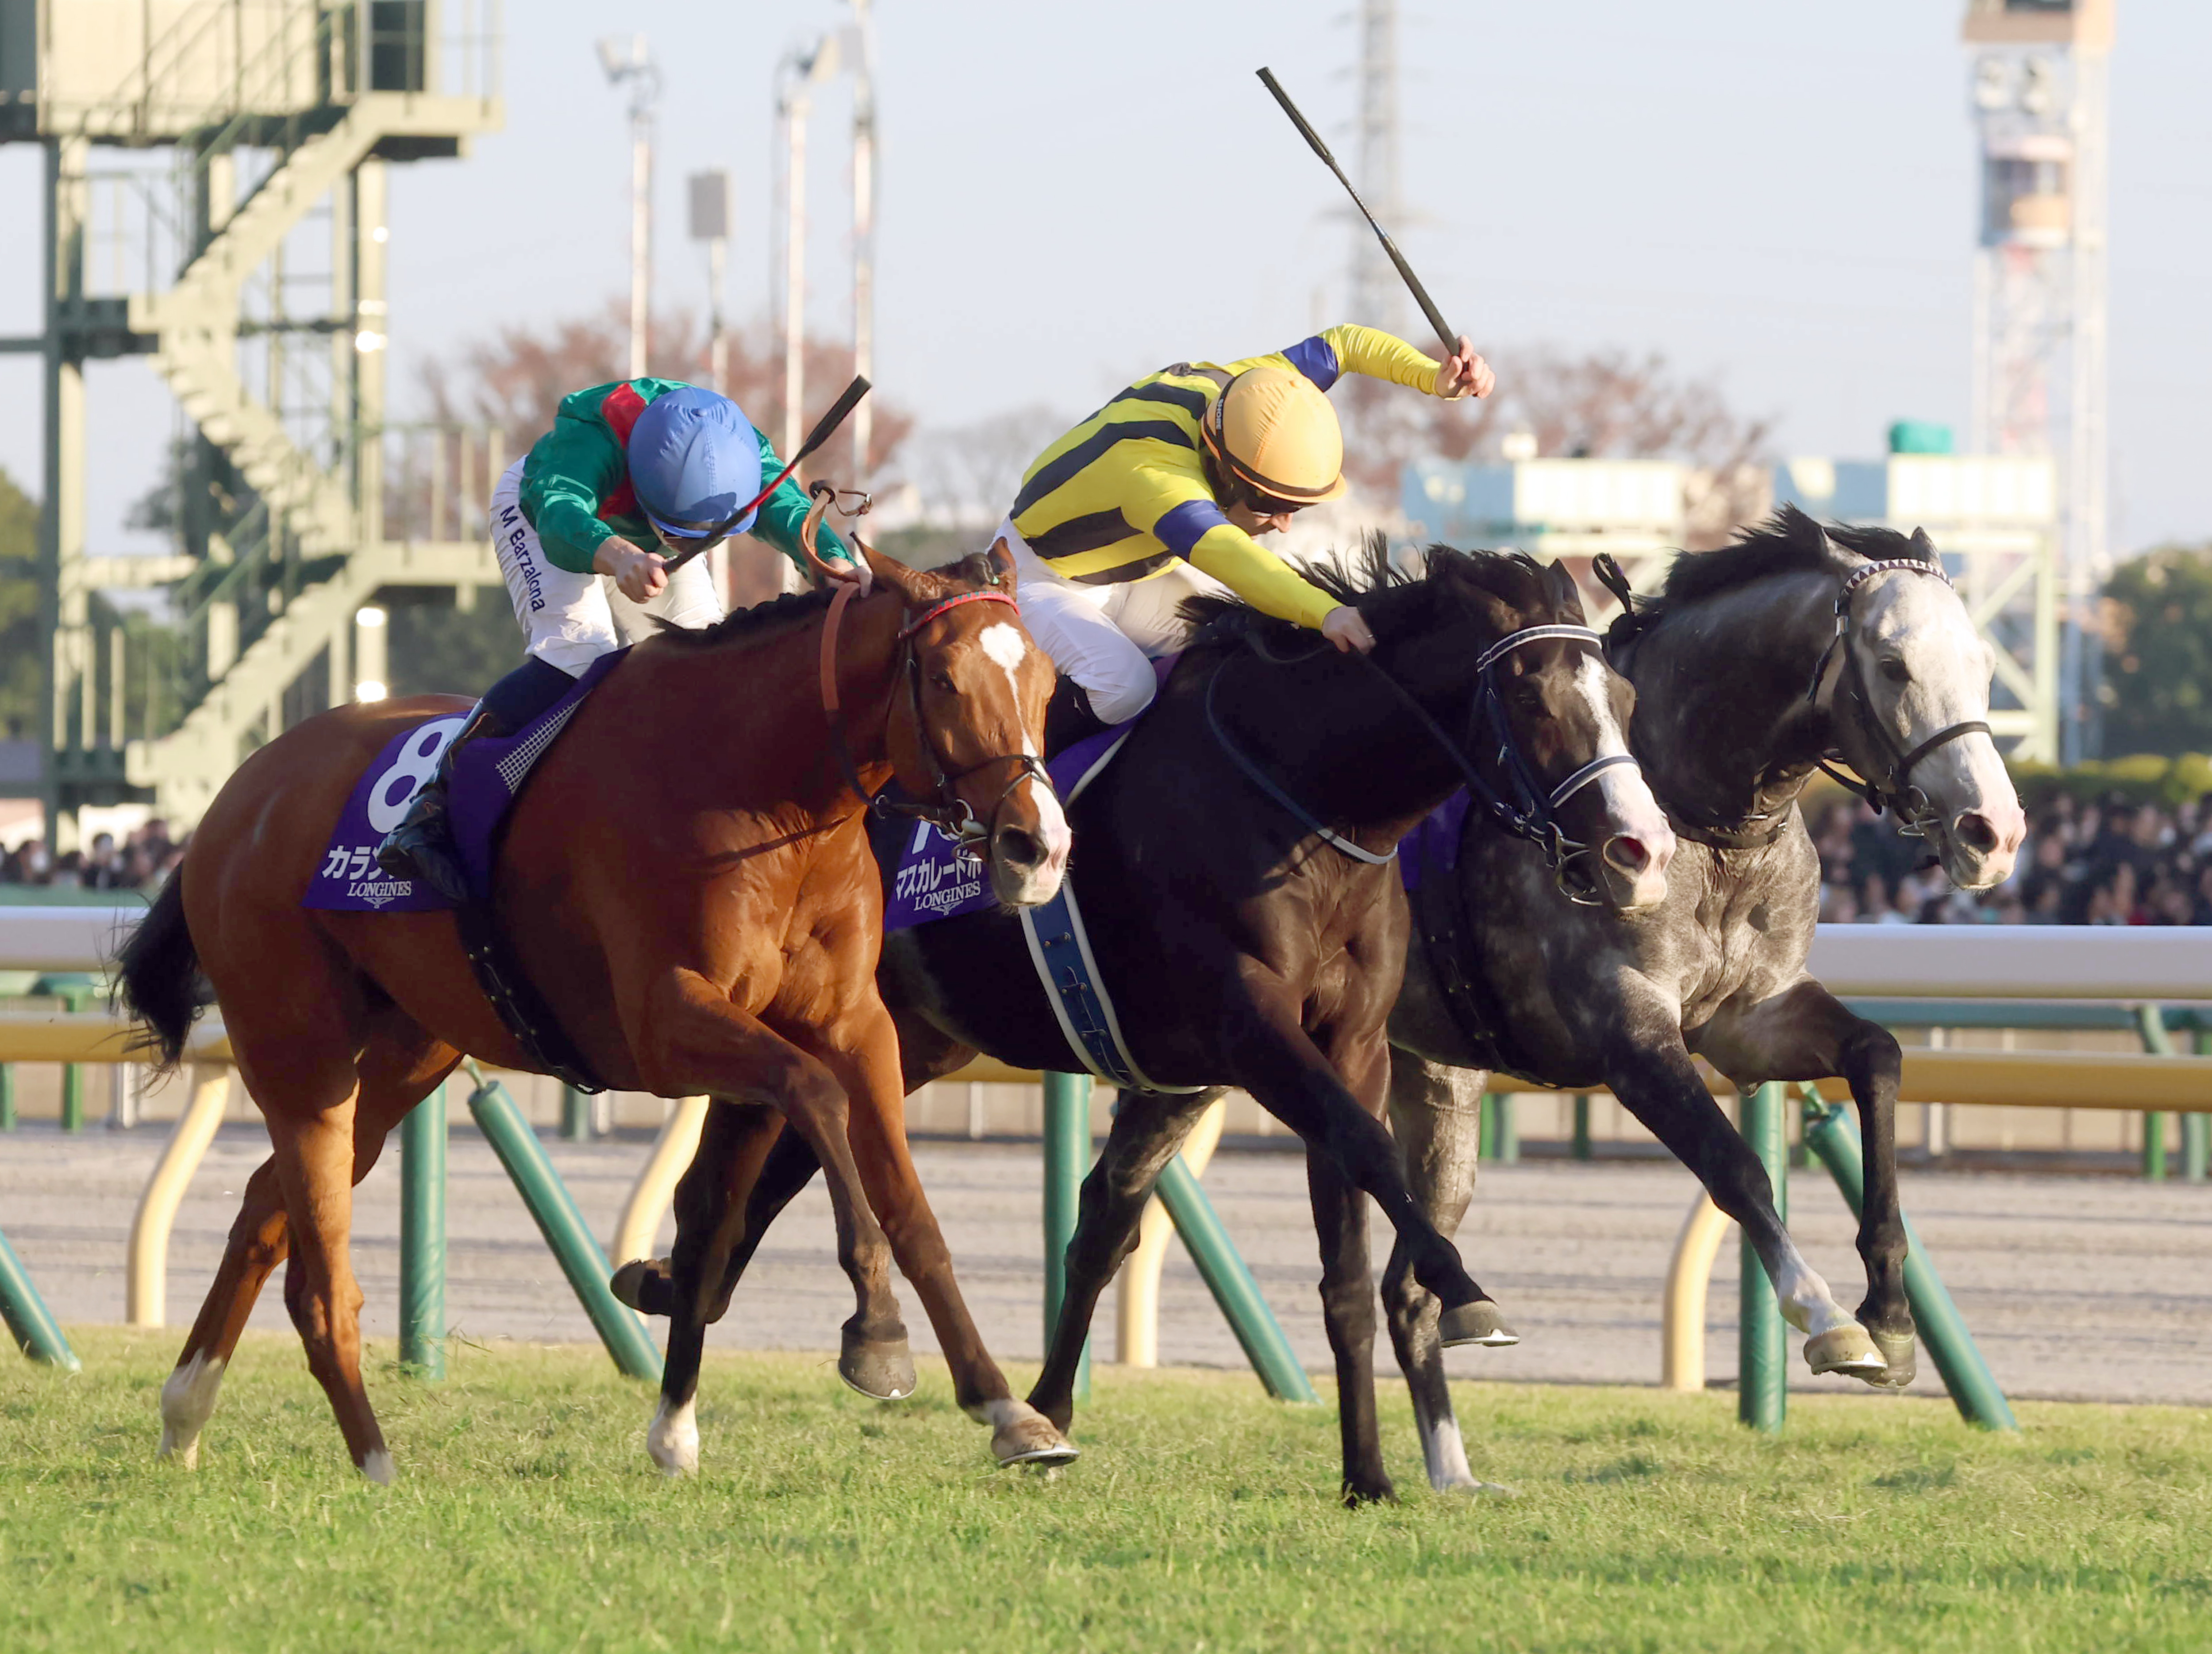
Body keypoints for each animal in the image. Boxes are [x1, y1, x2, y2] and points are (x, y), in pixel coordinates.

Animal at [115, 540, 1078, 1481]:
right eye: (945, 679)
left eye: (1045, 684)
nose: (1038, 845)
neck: (762, 787)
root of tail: (237, 793)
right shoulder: (666, 1023)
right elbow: (814, 1094)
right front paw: (875, 1332)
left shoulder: (858, 1026)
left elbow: (910, 1211)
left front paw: (1010, 1412)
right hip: (297, 1045)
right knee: (317, 1269)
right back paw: (375, 1462)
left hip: (408, 1052)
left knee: (263, 1207)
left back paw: (184, 1415)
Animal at [616, 542, 1678, 1499]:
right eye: (1534, 699)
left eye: (1628, 703)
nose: (1640, 850)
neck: (1304, 801)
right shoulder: (1252, 1029)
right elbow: (1370, 1152)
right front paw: (1468, 1295)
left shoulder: (1345, 1044)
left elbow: (1327, 1258)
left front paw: (1367, 1475)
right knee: (733, 1181)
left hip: (907, 1034)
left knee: (777, 1168)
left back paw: (689, 1294)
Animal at [1380, 507, 2026, 1496]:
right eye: (1892, 664)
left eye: (1985, 664)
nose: (1993, 833)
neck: (1692, 814)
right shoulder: (1626, 1031)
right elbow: (1737, 1168)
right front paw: (1829, 1320)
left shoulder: (1748, 1017)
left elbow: (1877, 1056)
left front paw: (1888, 1313)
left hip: (1434, 1077)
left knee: (1408, 1282)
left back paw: (1453, 1463)